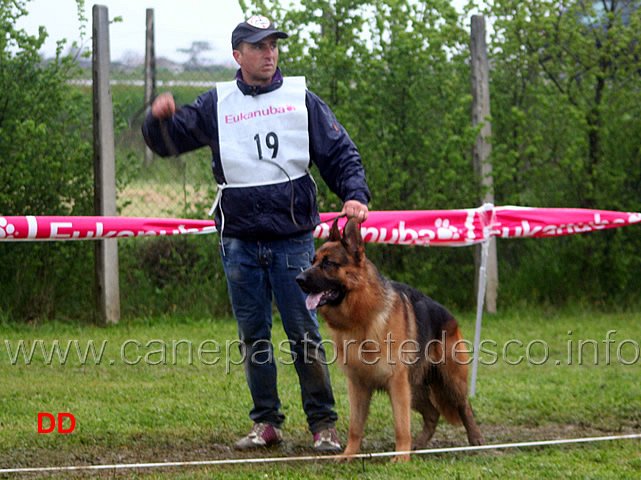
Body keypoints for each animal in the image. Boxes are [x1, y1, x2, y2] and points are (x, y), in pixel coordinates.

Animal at [298, 218, 482, 462]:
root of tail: (448, 314)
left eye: (328, 263)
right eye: (313, 261)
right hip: (415, 389)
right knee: (433, 414)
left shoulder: (396, 384)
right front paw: (349, 454)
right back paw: (420, 444)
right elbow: (355, 427)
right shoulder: (357, 385)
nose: (298, 279)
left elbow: (401, 426)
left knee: (465, 407)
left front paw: (401, 457)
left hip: (450, 381)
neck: (361, 317)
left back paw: (475, 439)